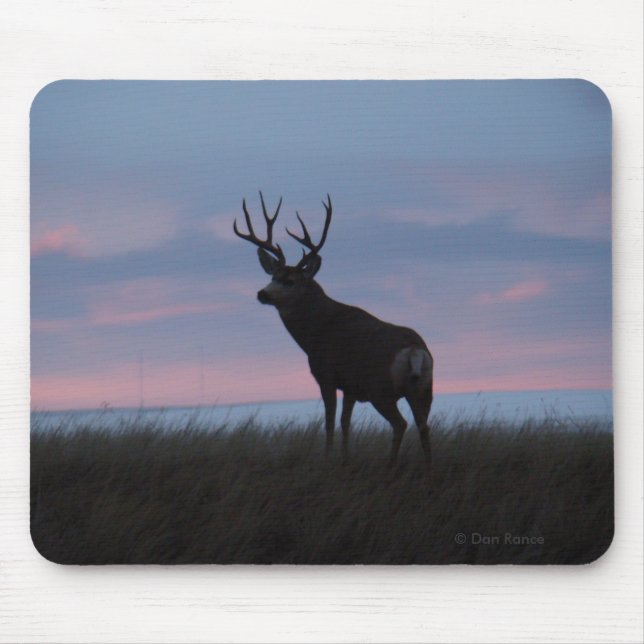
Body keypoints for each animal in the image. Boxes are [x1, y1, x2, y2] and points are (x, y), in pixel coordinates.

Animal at [233, 192, 434, 472]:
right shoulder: (350, 386)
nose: (262, 293)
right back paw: (429, 467)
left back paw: (391, 465)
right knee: (424, 426)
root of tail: (415, 350)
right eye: (273, 276)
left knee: (401, 424)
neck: (316, 331)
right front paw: (345, 459)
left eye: (290, 281)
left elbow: (329, 422)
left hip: (381, 388)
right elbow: (345, 423)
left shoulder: (326, 376)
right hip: (424, 388)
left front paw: (328, 460)